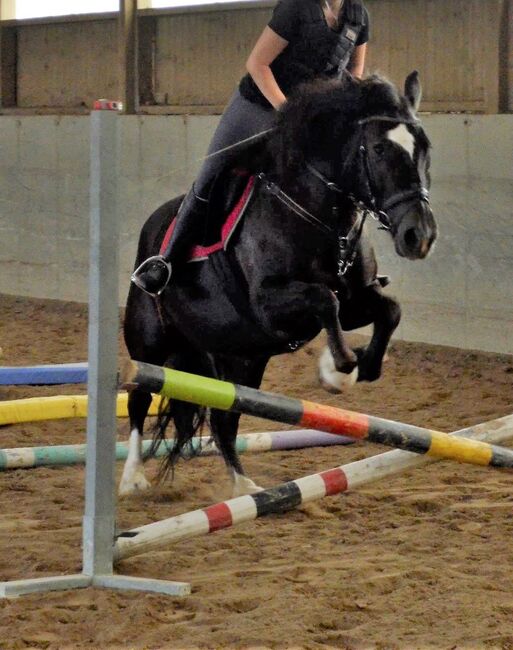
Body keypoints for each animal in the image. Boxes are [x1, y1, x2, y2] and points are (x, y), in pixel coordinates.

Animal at [120, 71, 436, 494]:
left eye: (424, 148)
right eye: (380, 149)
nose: (420, 236)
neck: (321, 218)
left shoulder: (356, 302)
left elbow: (388, 310)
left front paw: (363, 366)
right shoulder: (271, 304)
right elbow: (325, 299)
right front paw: (339, 369)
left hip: (240, 356)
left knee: (225, 417)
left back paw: (244, 486)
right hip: (150, 343)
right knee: (140, 398)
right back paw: (132, 477)